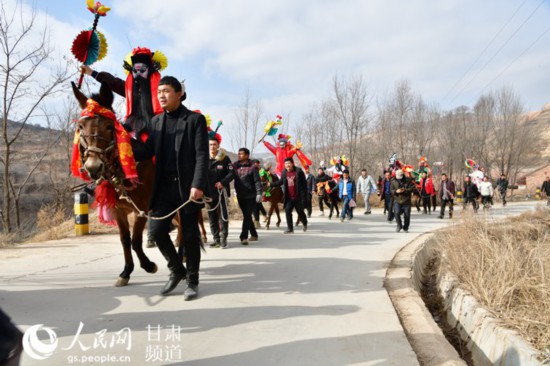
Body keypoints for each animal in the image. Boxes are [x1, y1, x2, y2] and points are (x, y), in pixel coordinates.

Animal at [71, 82, 157, 286]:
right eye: (81, 126)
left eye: (110, 126)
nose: (93, 166)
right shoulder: (119, 210)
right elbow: (125, 240)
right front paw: (126, 271)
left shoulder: (141, 208)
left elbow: (136, 240)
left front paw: (149, 265)